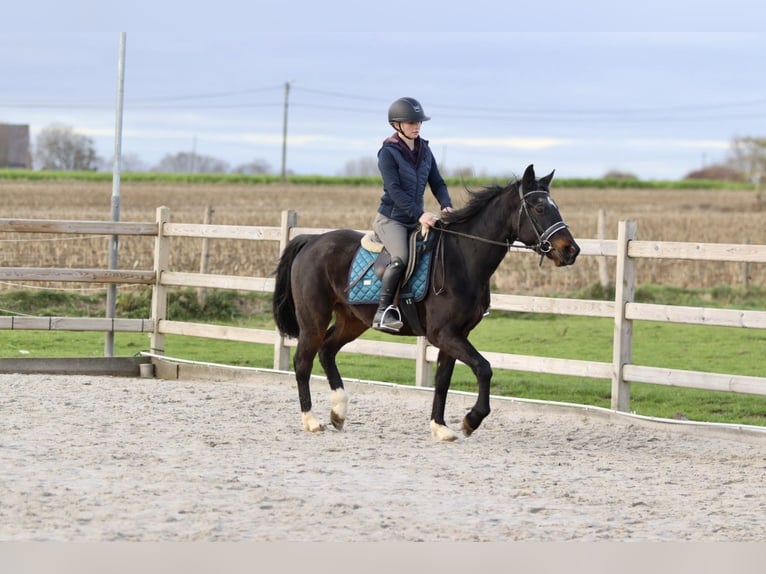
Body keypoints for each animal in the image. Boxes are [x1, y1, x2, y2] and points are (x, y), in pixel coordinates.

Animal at [272, 164, 580, 441]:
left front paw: (440, 427)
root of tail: (312, 240)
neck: (463, 259)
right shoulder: (444, 334)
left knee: (327, 351)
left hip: (352, 321)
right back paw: (312, 421)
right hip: (314, 319)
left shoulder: (456, 335)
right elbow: (484, 368)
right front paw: (471, 420)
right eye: (539, 209)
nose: (571, 250)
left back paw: (339, 413)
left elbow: (443, 380)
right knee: (303, 361)